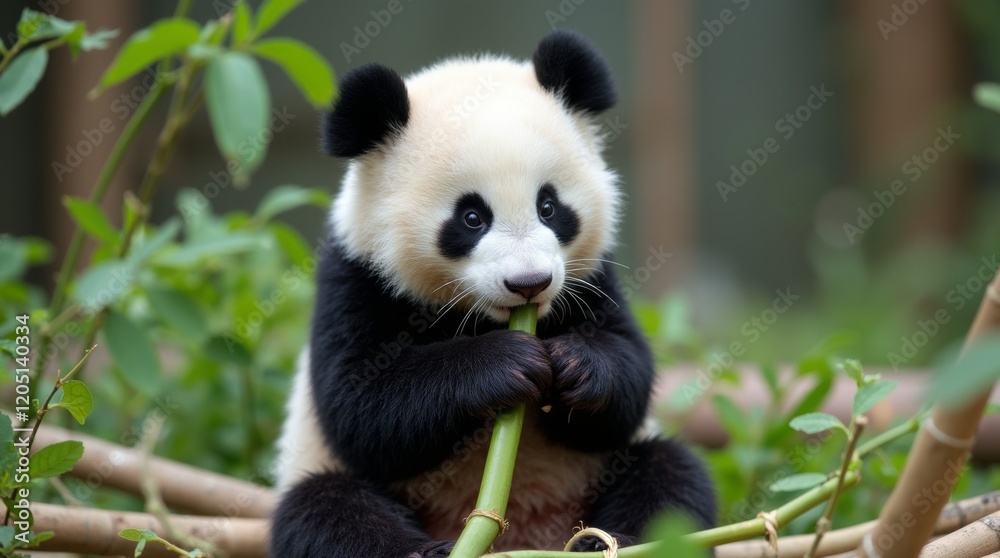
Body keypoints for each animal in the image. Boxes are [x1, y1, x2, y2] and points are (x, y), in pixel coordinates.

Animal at [270, 30, 715, 557]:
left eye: (549, 206)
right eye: (471, 218)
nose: (529, 283)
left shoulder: (591, 276)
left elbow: (629, 373)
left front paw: (577, 364)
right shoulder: (358, 276)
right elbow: (359, 406)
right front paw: (506, 364)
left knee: (670, 473)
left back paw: (613, 542)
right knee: (328, 510)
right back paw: (425, 550)